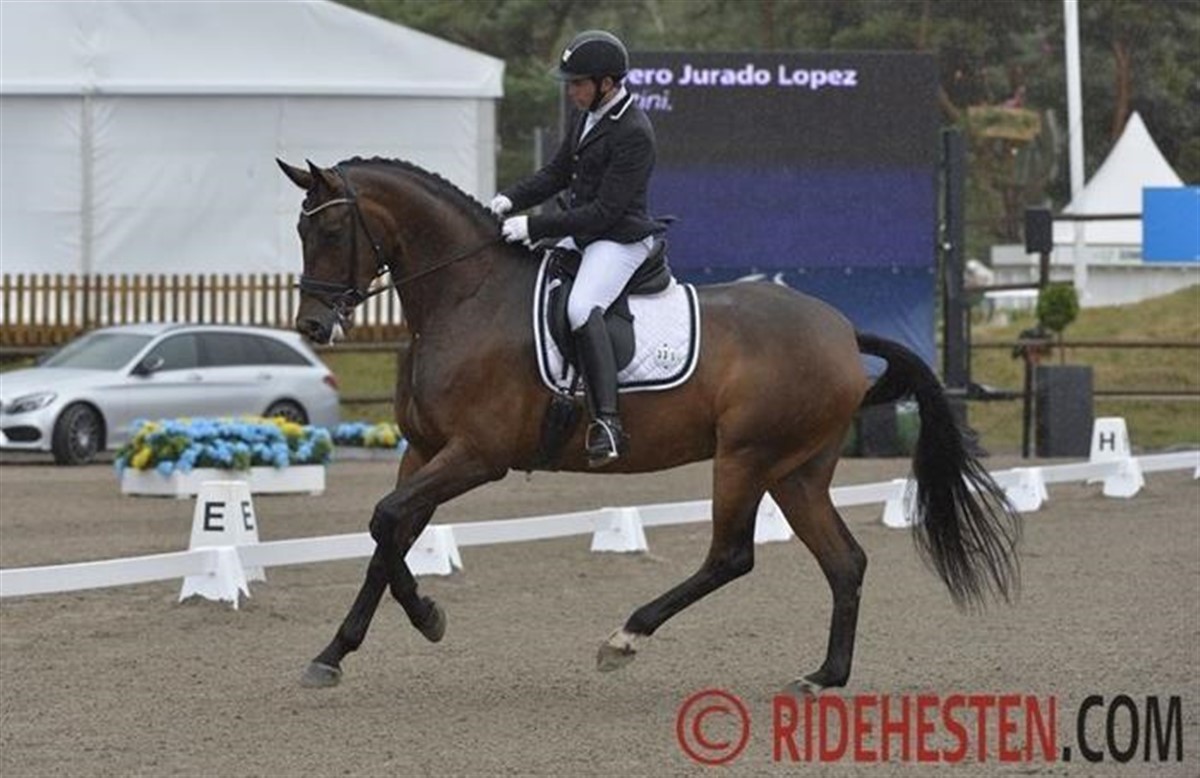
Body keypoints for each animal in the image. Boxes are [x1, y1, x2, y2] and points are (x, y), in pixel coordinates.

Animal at [277, 156, 1021, 693]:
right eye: (301, 232)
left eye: (333, 232)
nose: (312, 326)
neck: (468, 297)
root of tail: (841, 330)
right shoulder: (425, 450)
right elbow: (390, 532)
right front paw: (338, 651)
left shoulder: (475, 455)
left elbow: (386, 521)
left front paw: (427, 616)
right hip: (797, 472)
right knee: (845, 562)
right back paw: (824, 677)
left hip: (746, 459)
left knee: (731, 556)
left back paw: (624, 639)